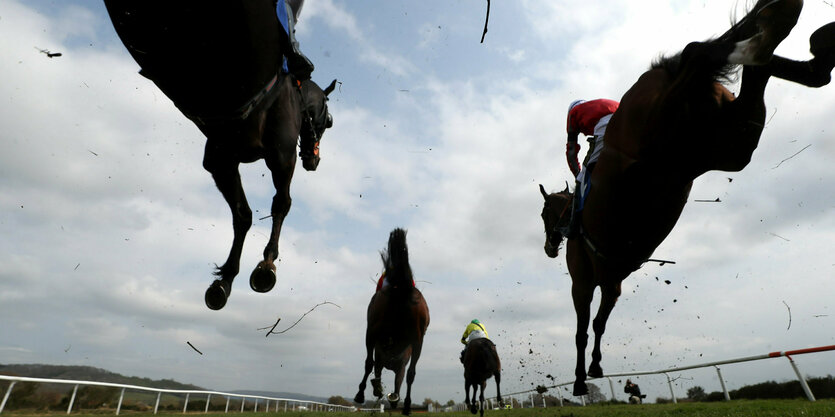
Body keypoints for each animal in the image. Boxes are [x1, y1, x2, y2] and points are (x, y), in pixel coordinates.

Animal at [104, 0, 336, 308]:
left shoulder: (222, 161)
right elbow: (280, 204)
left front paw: (226, 279)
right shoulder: (281, 156)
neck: (291, 93)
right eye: (328, 121)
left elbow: (242, 215)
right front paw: (266, 263)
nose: (314, 160)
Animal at [354, 229, 432, 414]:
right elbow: (400, 379)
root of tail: (403, 289)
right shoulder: (398, 362)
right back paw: (407, 405)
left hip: (372, 332)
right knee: (411, 373)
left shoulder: (376, 343)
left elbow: (372, 366)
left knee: (369, 363)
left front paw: (372, 391)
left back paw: (362, 394)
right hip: (417, 340)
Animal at [540, 0, 832, 396]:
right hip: (728, 143)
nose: (549, 248)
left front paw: (583, 378)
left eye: (543, 214)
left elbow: (585, 330)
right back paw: (792, 34)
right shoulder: (613, 282)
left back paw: (772, 29)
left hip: (662, 133)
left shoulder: (585, 283)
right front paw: (595, 368)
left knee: (697, 52)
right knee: (755, 68)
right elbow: (599, 324)